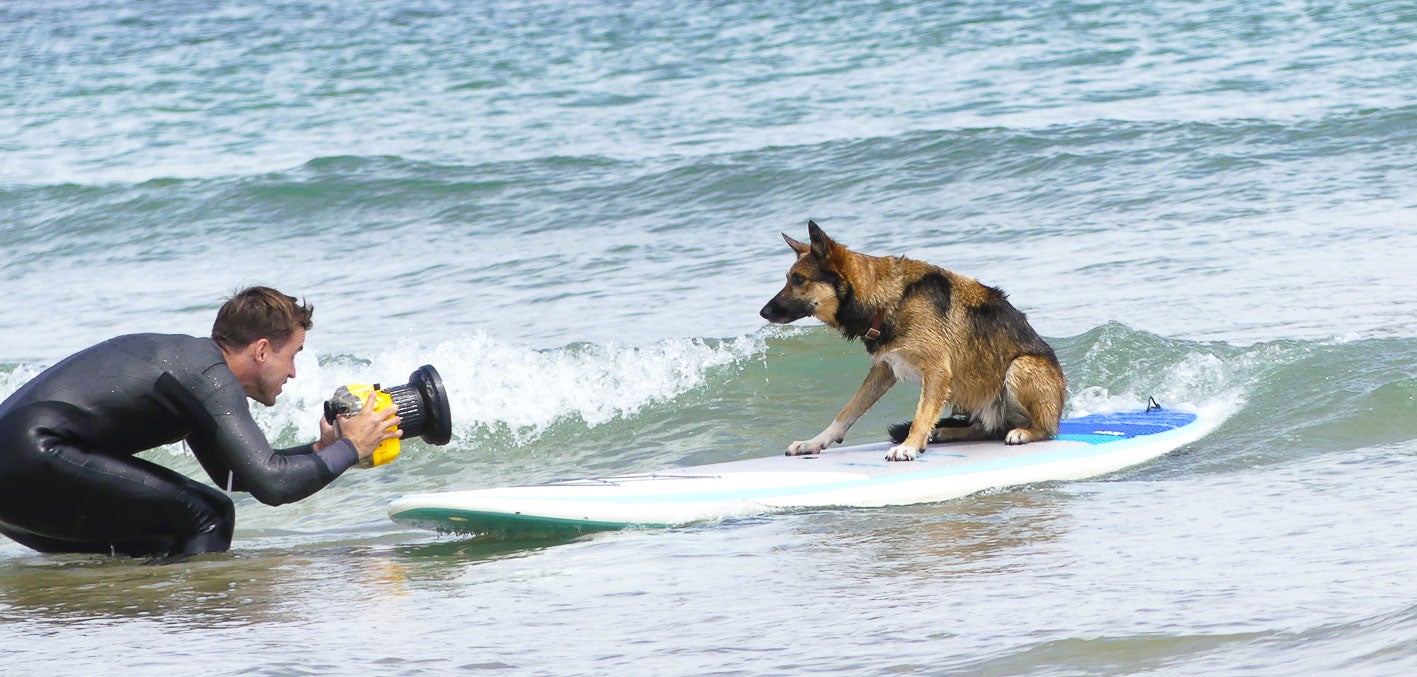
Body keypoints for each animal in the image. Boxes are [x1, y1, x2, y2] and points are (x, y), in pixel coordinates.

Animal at [765, 222, 1065, 458]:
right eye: (789, 278)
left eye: (799, 279)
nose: (762, 312)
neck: (888, 299)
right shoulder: (883, 369)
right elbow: (848, 411)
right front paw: (814, 442)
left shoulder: (937, 371)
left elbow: (921, 415)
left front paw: (908, 446)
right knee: (986, 428)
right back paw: (947, 432)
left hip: (1021, 366)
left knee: (1042, 429)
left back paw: (1023, 432)